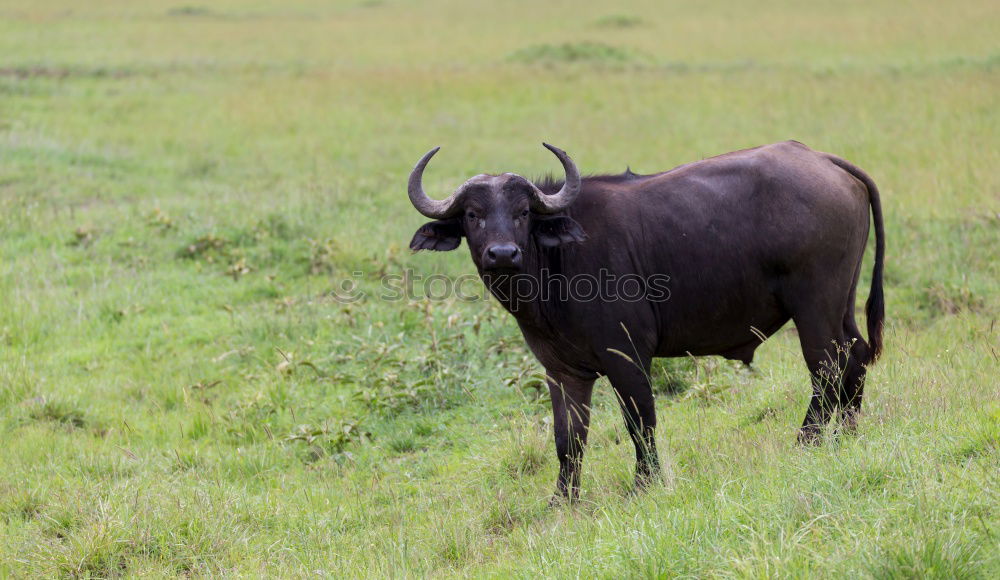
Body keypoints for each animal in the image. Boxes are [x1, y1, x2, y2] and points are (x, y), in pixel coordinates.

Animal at [406, 142, 884, 498]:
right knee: (855, 355)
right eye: (473, 215)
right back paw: (848, 433)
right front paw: (563, 499)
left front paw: (645, 484)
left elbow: (640, 420)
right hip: (841, 302)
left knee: (825, 367)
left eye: (523, 212)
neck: (556, 268)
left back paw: (807, 442)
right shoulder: (562, 372)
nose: (503, 254)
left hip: (814, 306)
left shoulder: (627, 356)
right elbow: (568, 438)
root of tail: (823, 160)